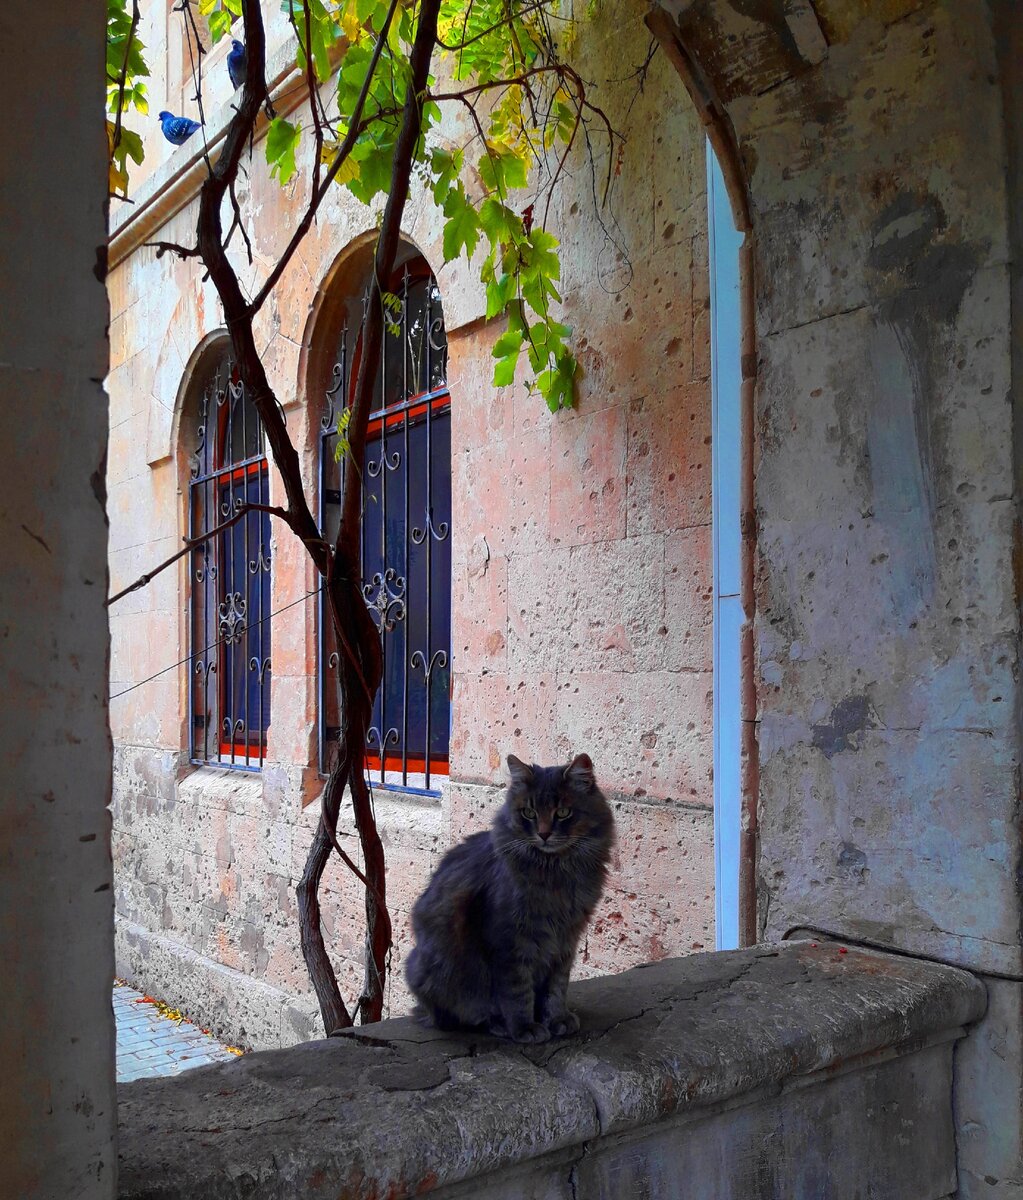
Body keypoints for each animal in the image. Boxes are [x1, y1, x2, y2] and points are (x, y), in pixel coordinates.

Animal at [405, 748, 614, 1041]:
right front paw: (525, 1027)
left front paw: (557, 1019)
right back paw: (498, 1025)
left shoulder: (565, 941)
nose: (544, 834)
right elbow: (517, 992)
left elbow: (556, 988)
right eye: (529, 812)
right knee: (460, 1016)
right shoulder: (509, 941)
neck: (556, 873)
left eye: (563, 812)